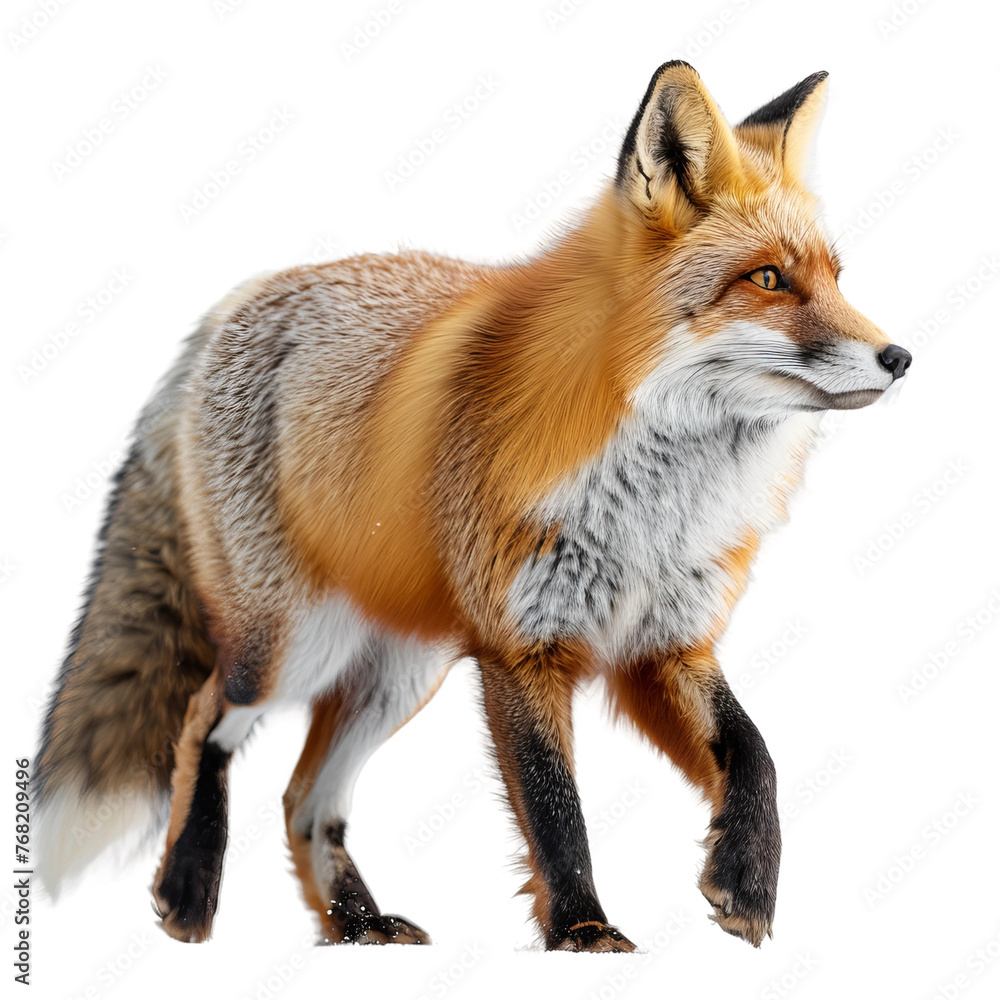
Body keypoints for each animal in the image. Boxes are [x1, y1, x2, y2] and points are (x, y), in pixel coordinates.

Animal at [34, 61, 911, 952]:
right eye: (769, 279)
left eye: (837, 278)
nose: (900, 357)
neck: (652, 510)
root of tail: (232, 306)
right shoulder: (521, 646)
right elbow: (557, 811)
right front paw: (585, 935)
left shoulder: (665, 644)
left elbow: (755, 751)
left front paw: (747, 883)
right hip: (289, 648)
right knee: (203, 718)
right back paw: (188, 890)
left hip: (398, 673)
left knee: (304, 798)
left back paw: (359, 923)